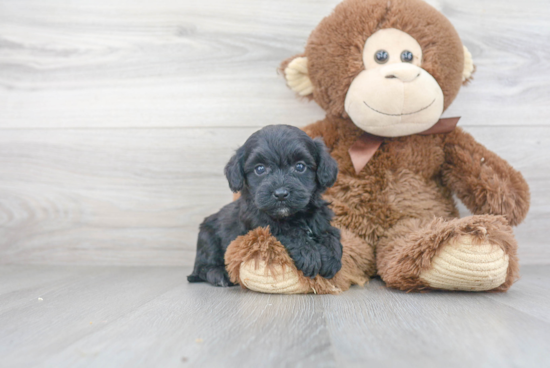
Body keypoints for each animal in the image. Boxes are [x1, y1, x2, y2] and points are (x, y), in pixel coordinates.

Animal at [190, 126, 344, 288]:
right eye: (260, 169)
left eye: (300, 166)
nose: (281, 194)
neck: (294, 216)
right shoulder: (259, 227)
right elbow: (285, 231)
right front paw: (308, 252)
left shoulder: (321, 219)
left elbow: (331, 233)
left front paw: (331, 256)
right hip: (207, 237)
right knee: (203, 266)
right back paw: (219, 275)